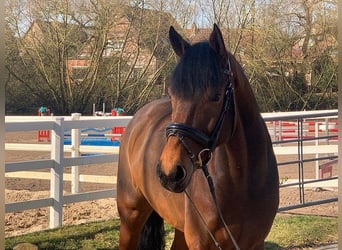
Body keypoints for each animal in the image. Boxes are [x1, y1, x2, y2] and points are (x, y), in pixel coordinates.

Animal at [117, 23, 278, 250]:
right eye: (173, 94)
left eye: (216, 96)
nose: (169, 172)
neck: (243, 180)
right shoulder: (201, 242)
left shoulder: (255, 243)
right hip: (130, 217)